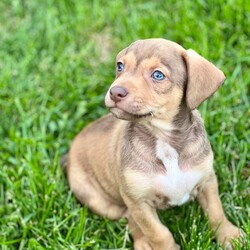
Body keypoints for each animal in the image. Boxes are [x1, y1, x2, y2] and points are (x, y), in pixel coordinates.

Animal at [63, 38, 244, 249]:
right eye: (120, 66)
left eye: (158, 75)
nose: (115, 92)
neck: (163, 139)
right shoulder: (138, 201)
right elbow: (157, 232)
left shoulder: (207, 180)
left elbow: (216, 213)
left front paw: (230, 236)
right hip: (99, 201)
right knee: (129, 219)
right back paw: (142, 243)